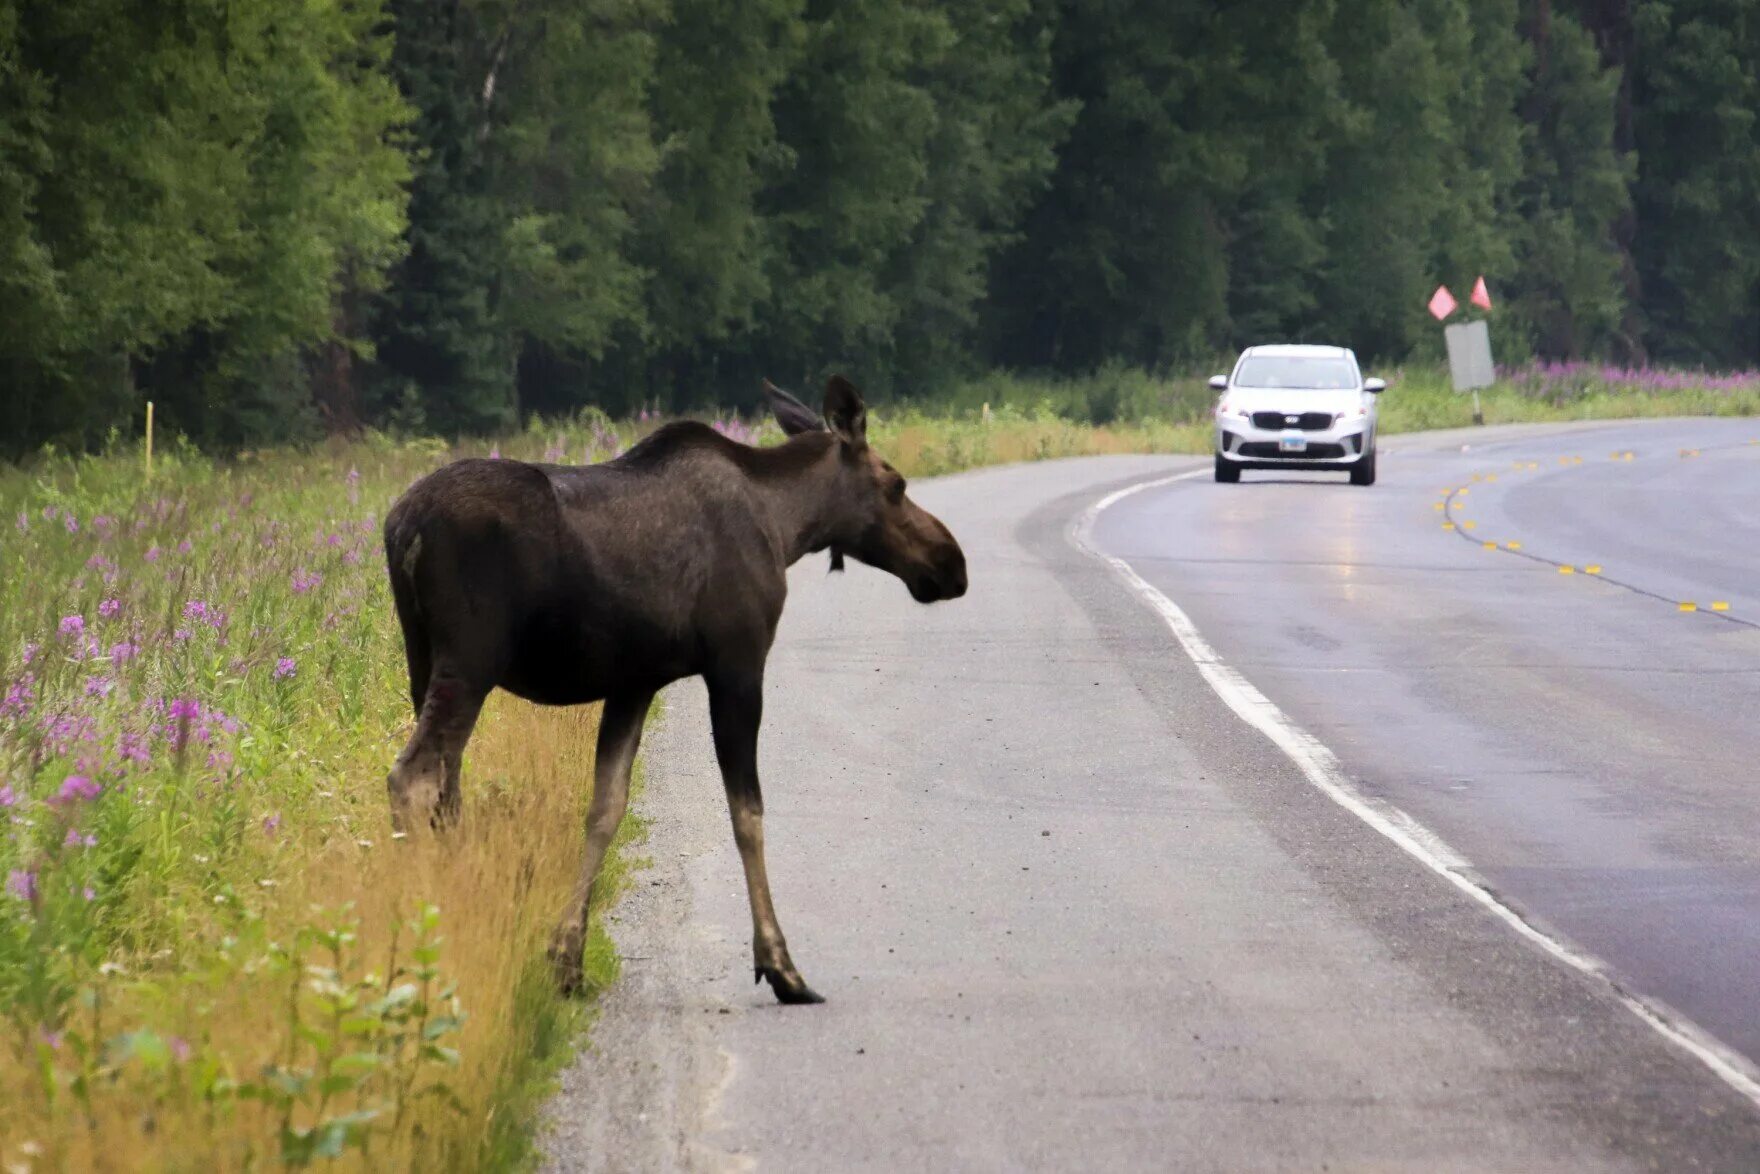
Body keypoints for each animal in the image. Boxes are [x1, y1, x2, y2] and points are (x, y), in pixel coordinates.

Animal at [378, 376, 971, 999]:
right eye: (896, 484)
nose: (951, 563)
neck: (786, 525)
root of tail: (402, 527)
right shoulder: (737, 664)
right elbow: (747, 814)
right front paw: (780, 965)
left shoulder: (635, 683)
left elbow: (605, 809)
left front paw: (566, 959)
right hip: (470, 660)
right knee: (413, 777)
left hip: (423, 660)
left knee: (446, 787)